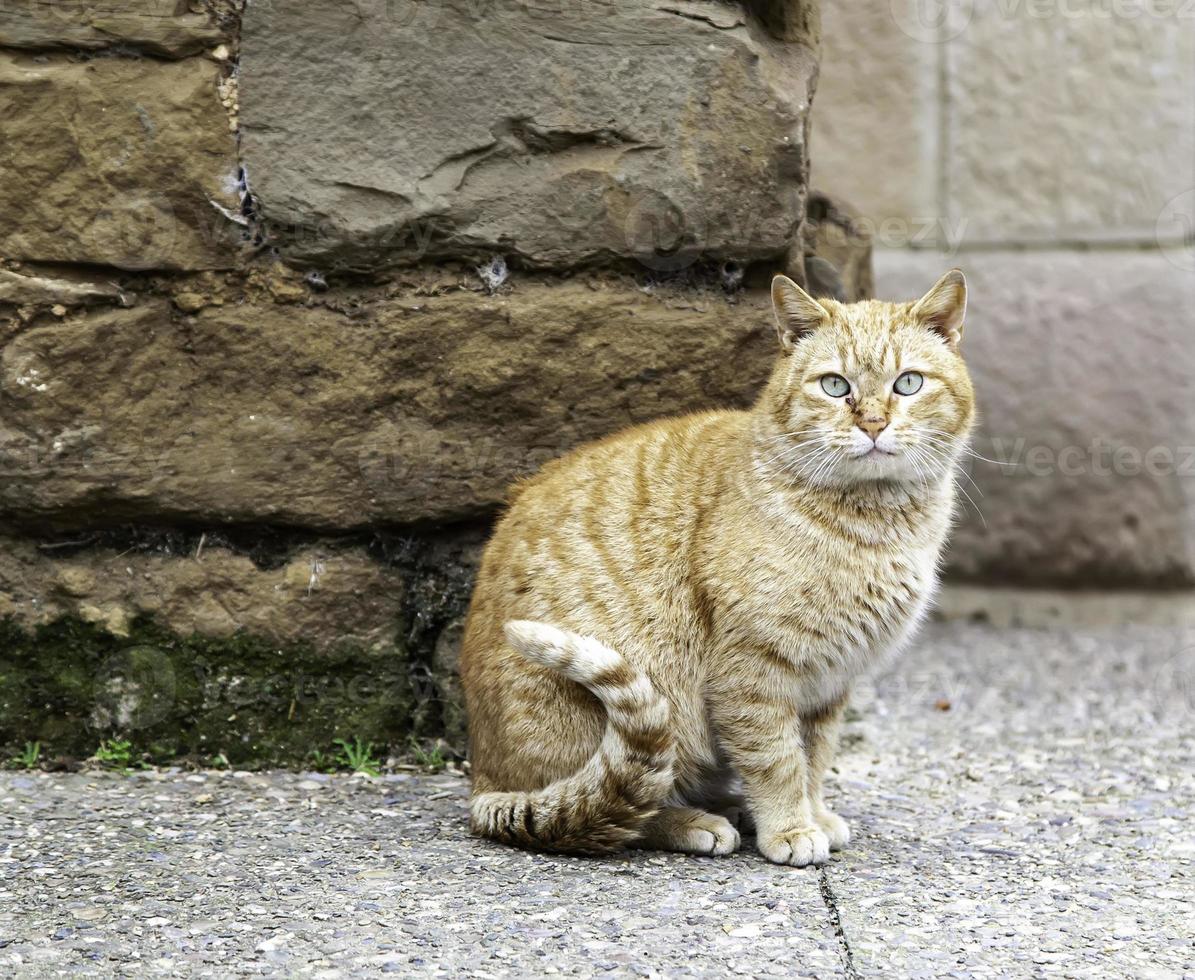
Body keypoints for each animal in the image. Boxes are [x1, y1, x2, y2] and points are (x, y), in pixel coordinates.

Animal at [456, 267, 970, 865]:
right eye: (835, 386)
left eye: (907, 384)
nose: (872, 424)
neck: (875, 524)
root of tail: (483, 781)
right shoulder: (753, 671)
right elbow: (777, 760)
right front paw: (790, 829)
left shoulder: (829, 686)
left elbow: (814, 759)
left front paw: (814, 813)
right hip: (643, 714)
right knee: (619, 803)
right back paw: (697, 821)